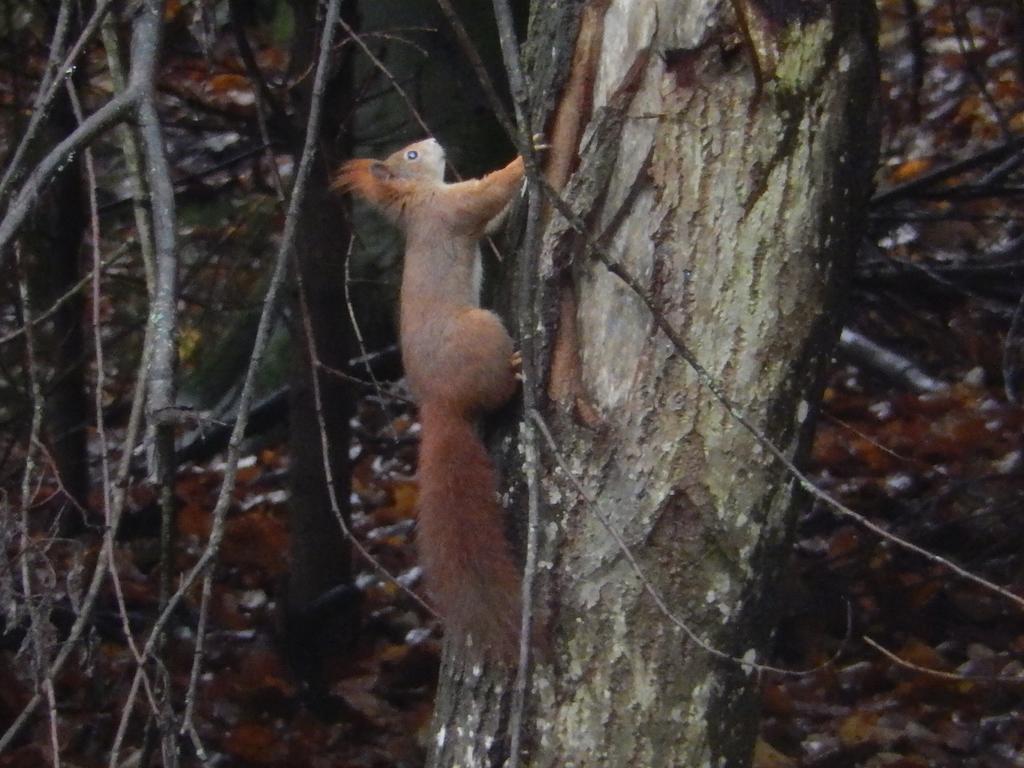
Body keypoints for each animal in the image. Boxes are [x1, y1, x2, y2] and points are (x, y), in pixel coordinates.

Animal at [333, 138, 528, 663]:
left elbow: (493, 221)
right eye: (411, 157)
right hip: (483, 331)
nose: (434, 142)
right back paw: (516, 367)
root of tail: (439, 403)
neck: (417, 203)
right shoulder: (450, 210)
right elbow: (486, 194)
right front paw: (526, 158)